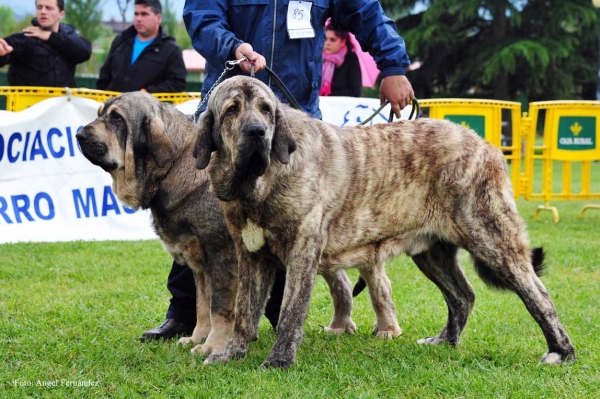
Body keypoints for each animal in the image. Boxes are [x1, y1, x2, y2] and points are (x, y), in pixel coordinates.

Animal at [195, 75, 576, 368]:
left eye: (266, 109)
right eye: (232, 110)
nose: (258, 132)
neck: (258, 182)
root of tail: (486, 145)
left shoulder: (302, 254)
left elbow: (291, 311)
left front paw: (279, 361)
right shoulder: (251, 256)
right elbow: (244, 313)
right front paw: (230, 355)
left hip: (493, 239)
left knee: (538, 295)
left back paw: (561, 353)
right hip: (432, 252)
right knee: (463, 296)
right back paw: (445, 340)